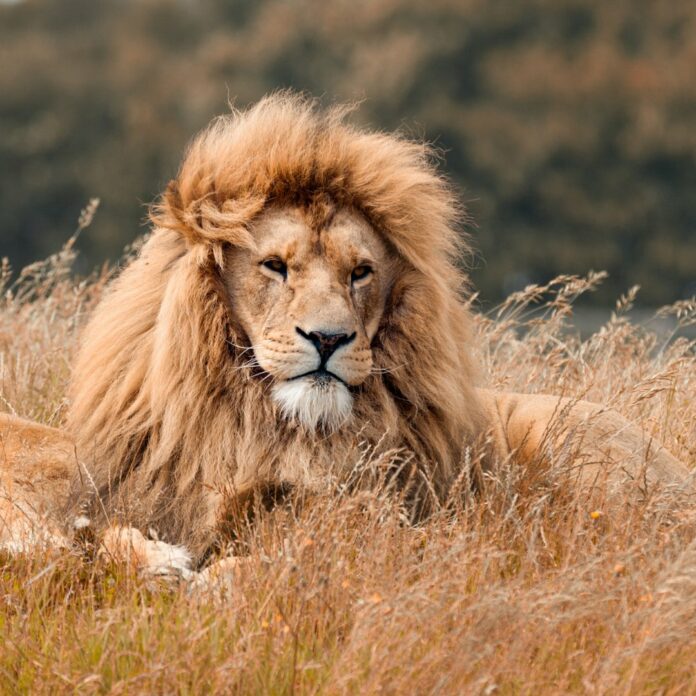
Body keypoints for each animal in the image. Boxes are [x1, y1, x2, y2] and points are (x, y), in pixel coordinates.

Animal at [0, 93, 691, 579]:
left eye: (360, 272)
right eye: (275, 266)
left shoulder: (381, 520)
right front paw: (164, 565)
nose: (329, 339)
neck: (265, 428)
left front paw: (216, 579)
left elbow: (290, 558)